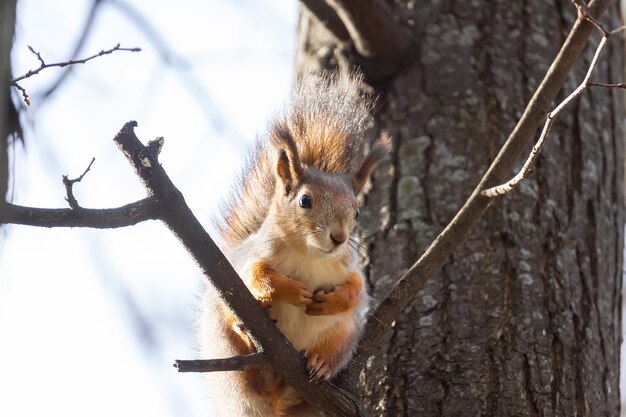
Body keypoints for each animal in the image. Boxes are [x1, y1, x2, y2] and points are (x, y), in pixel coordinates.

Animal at [199, 73, 390, 414]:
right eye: (305, 200)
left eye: (357, 211)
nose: (339, 237)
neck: (310, 255)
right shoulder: (251, 260)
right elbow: (255, 276)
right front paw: (290, 290)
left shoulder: (350, 268)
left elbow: (356, 291)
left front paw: (332, 300)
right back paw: (245, 336)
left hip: (342, 337)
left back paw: (319, 364)